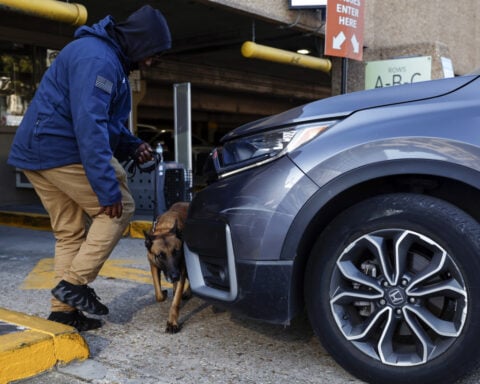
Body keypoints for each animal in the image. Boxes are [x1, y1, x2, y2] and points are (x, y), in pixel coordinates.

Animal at [144, 201, 191, 332]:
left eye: (176, 252)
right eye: (160, 255)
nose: (174, 276)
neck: (164, 229)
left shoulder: (181, 271)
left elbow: (175, 302)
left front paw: (172, 322)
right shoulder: (153, 265)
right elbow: (158, 294)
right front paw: (163, 294)